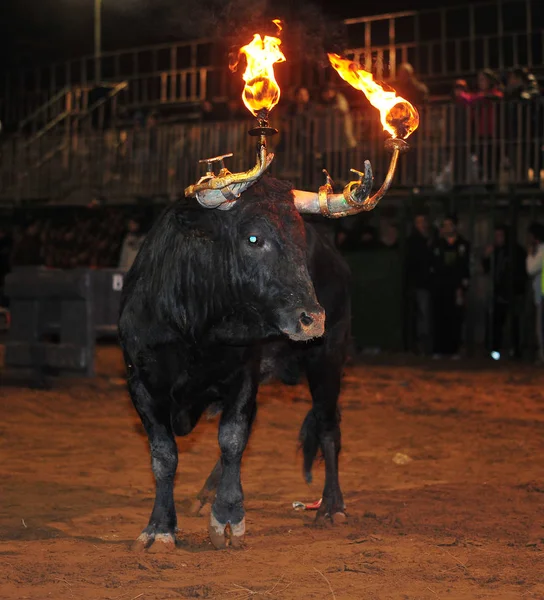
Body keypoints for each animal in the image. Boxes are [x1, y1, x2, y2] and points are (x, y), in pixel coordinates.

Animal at [118, 176, 352, 552]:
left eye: (300, 239)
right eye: (253, 238)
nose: (312, 319)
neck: (195, 328)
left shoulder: (243, 376)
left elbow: (231, 438)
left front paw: (228, 517)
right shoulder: (140, 382)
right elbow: (164, 455)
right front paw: (160, 528)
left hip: (328, 355)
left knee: (328, 426)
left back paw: (332, 506)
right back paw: (203, 495)